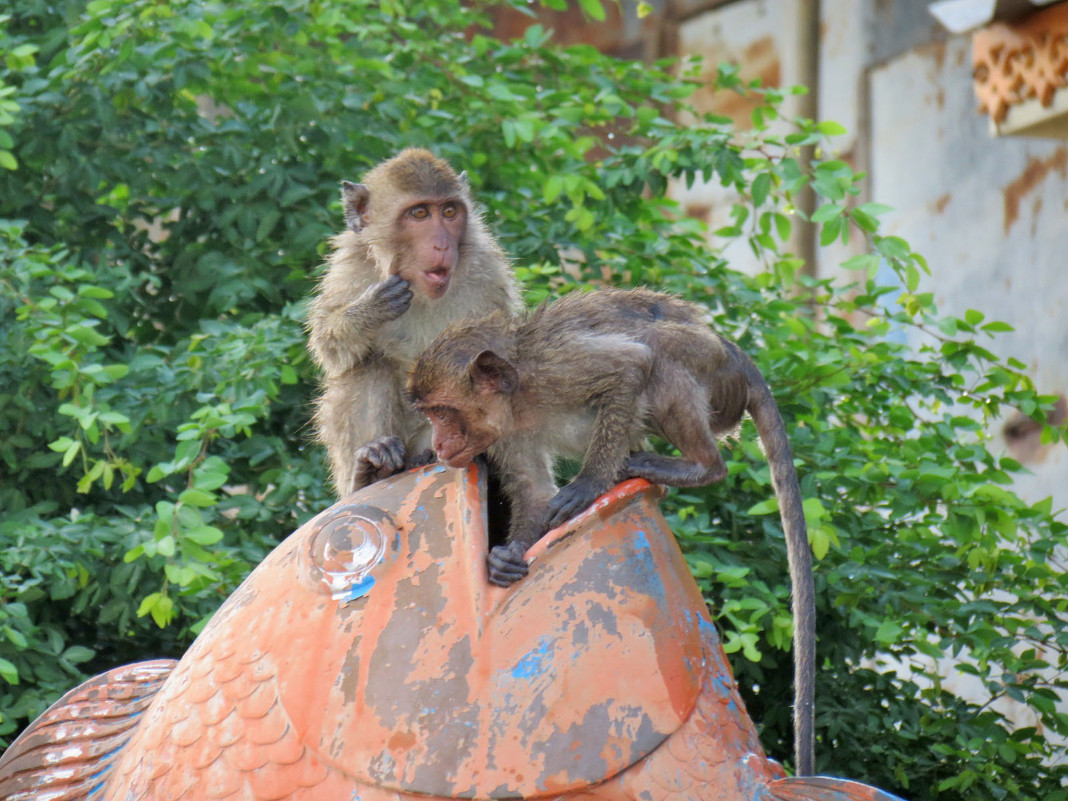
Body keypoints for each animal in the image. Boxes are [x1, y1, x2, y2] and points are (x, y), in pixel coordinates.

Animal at [305, 148, 521, 499]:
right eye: (419, 213)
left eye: (449, 211)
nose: (442, 244)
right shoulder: (350, 267)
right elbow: (329, 347)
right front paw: (368, 311)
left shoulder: (488, 271)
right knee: (367, 365)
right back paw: (371, 470)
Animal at [407, 288, 815, 777]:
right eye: (431, 414)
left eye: (443, 412)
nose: (439, 444)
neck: (522, 396)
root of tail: (734, 352)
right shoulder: (507, 432)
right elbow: (534, 492)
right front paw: (507, 556)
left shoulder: (558, 369)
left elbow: (630, 367)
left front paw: (589, 483)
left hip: (714, 376)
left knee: (660, 355)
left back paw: (697, 466)